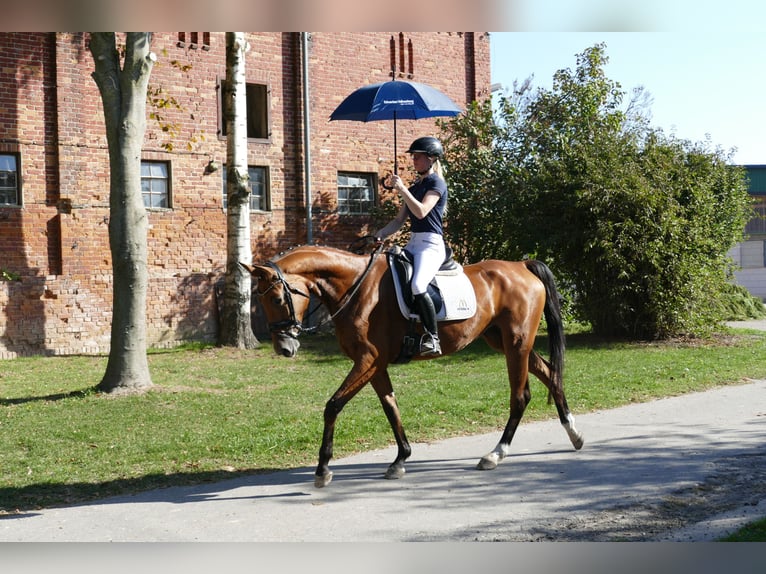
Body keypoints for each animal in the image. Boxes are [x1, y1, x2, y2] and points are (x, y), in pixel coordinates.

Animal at [243, 244, 584, 490]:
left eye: (277, 298)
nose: (284, 348)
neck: (355, 288)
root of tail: (521, 265)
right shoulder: (374, 364)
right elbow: (390, 407)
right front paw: (400, 459)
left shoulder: (368, 360)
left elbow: (333, 405)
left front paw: (323, 469)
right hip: (504, 342)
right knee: (550, 373)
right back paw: (574, 434)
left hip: (516, 345)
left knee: (520, 396)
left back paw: (495, 454)